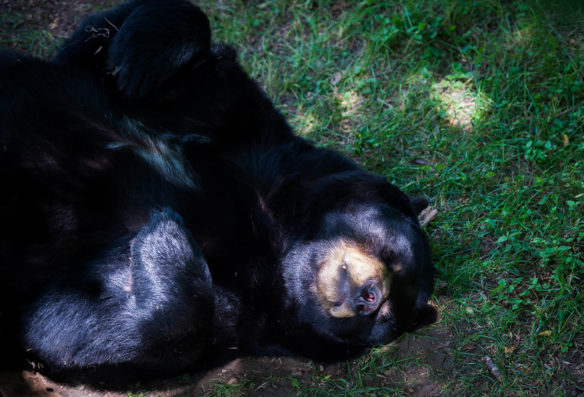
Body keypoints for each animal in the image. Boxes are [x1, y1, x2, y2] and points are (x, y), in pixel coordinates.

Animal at [0, 0, 436, 380]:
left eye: (385, 317)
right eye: (390, 253)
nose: (369, 297)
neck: (275, 238)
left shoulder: (243, 312)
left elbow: (67, 324)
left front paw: (166, 234)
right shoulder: (247, 133)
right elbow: (103, 46)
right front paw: (135, 58)